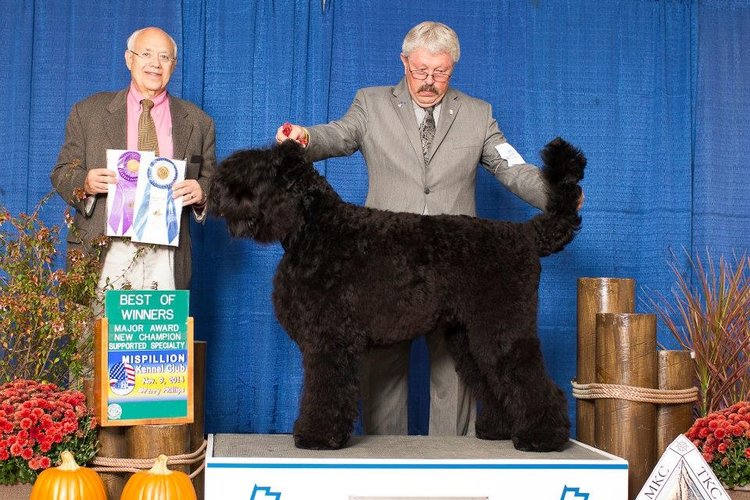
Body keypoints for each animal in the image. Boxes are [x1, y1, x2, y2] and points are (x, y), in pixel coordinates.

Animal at [210, 138, 588, 454]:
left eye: (256, 171)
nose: (217, 190)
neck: (315, 229)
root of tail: (526, 234)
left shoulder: (329, 339)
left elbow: (325, 388)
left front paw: (317, 436)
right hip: (470, 335)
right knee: (492, 378)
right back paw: (500, 430)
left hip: (502, 328)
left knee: (528, 376)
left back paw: (542, 438)